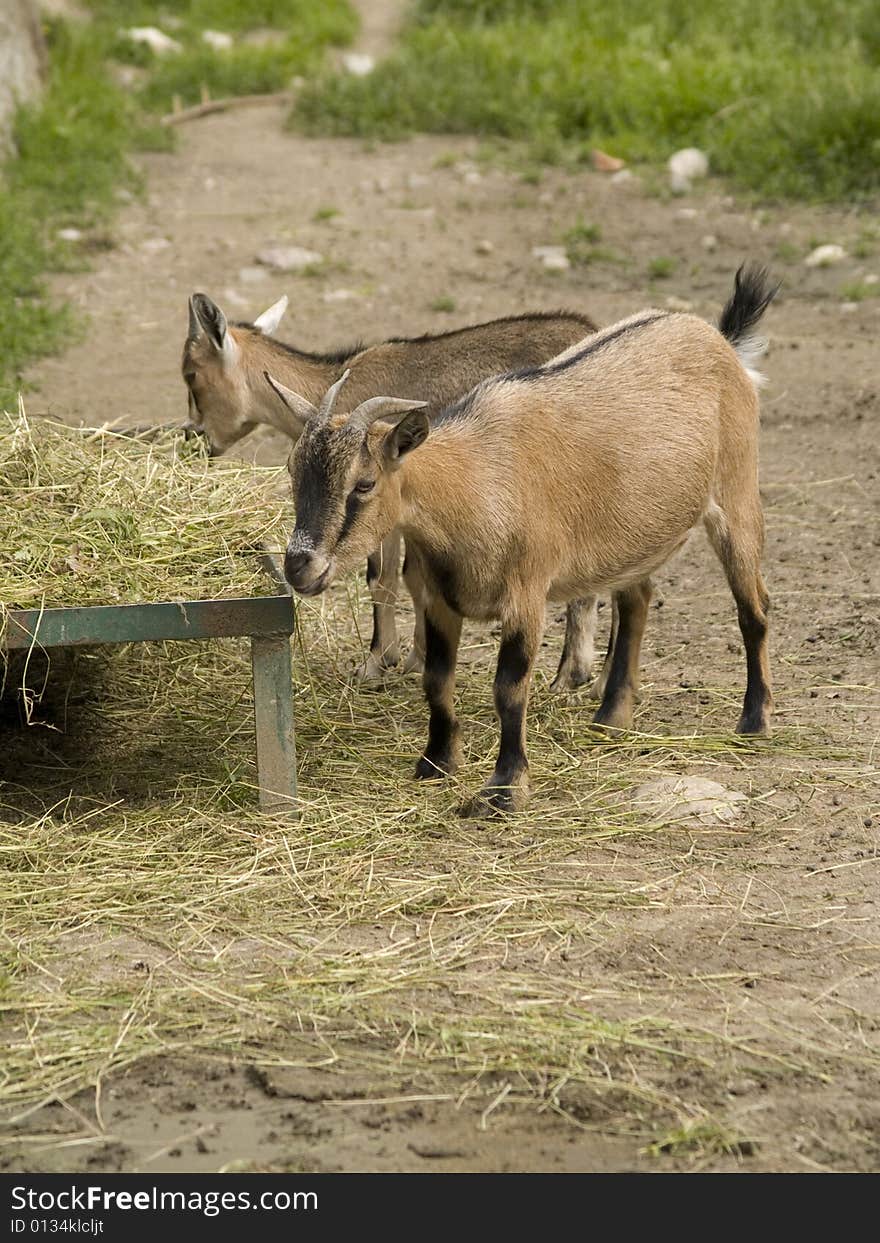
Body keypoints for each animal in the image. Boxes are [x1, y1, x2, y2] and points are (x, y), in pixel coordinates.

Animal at [182, 292, 601, 691]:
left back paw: (570, 676)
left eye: (191, 374)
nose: (192, 439)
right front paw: (416, 658)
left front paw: (377, 662)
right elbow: (415, 580)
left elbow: (382, 579)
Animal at [268, 264, 775, 815]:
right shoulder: (439, 599)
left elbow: (508, 688)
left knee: (753, 607)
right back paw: (610, 718)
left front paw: (506, 789)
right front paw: (435, 764)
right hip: (634, 537)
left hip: (736, 495)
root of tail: (717, 339)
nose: (299, 565)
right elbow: (436, 679)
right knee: (638, 598)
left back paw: (754, 720)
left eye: (363, 483)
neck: (478, 481)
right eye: (293, 470)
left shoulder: (525, 595)